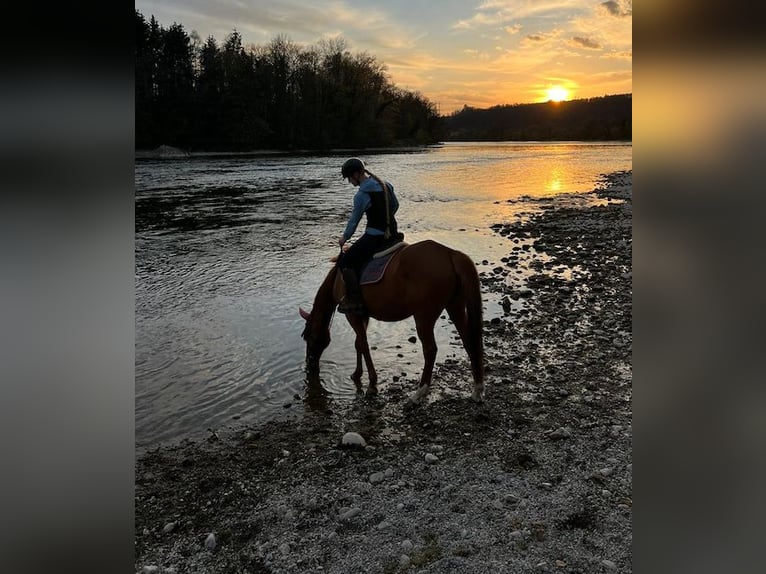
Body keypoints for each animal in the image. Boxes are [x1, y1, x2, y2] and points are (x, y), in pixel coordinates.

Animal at [299, 239, 485, 404]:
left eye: (309, 337)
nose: (310, 363)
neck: (337, 279)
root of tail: (449, 253)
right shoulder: (362, 315)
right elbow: (358, 343)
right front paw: (357, 374)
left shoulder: (352, 315)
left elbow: (363, 345)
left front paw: (372, 384)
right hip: (455, 307)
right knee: (469, 341)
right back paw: (477, 389)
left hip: (424, 317)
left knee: (430, 350)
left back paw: (419, 393)